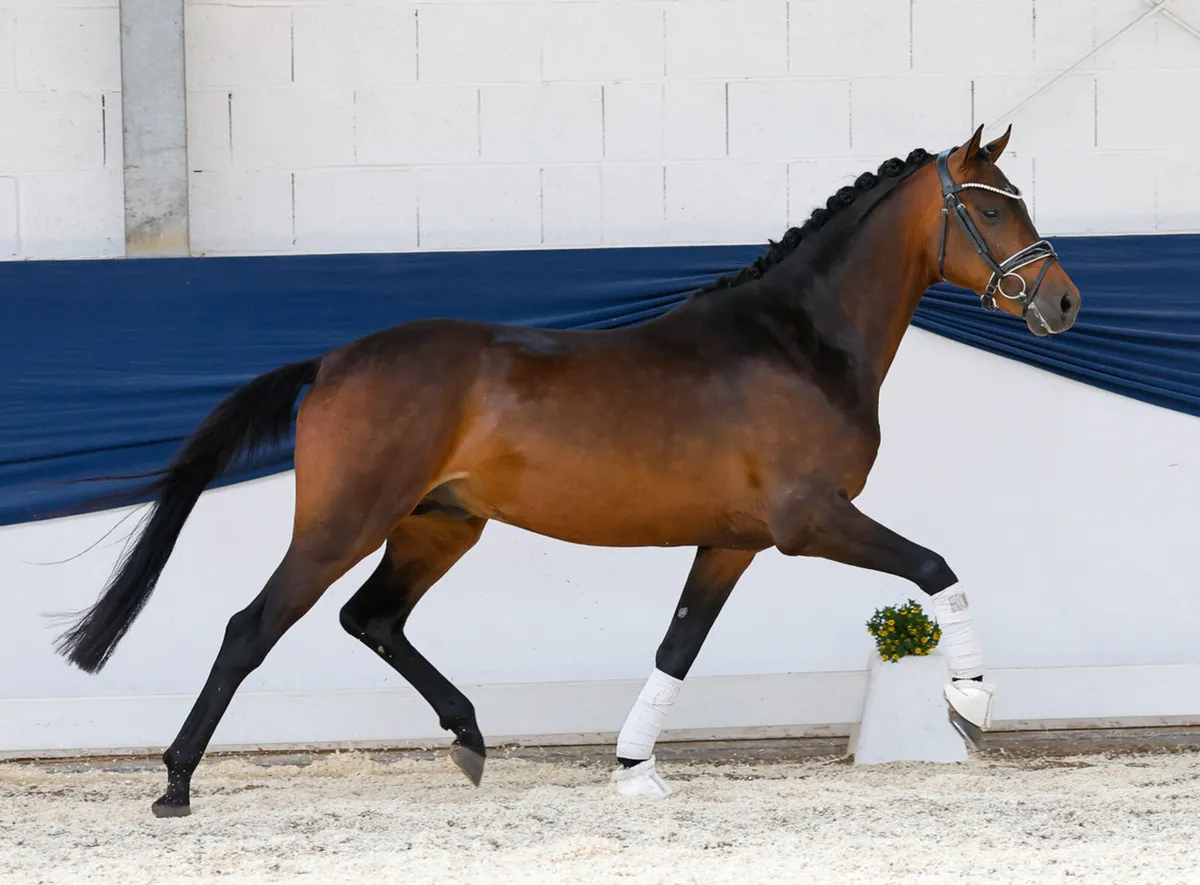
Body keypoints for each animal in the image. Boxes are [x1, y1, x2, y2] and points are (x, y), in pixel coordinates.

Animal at [53, 124, 1080, 816]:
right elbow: (936, 567)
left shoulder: (732, 542)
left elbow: (677, 645)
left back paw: (469, 738)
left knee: (371, 617)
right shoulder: (808, 521)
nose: (1063, 301)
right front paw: (970, 704)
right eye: (992, 205)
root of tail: (333, 361)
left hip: (439, 525)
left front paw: (635, 767)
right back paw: (176, 782)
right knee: (251, 627)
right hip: (346, 522)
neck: (797, 341)